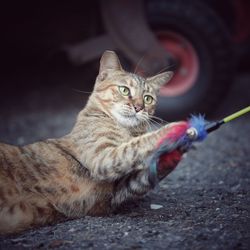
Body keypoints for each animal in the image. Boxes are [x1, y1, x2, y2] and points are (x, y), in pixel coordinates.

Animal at [0, 49, 184, 233]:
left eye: (148, 98)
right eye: (124, 90)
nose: (139, 107)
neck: (128, 130)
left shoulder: (118, 191)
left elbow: (143, 176)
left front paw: (173, 153)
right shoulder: (103, 157)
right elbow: (135, 145)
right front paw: (174, 130)